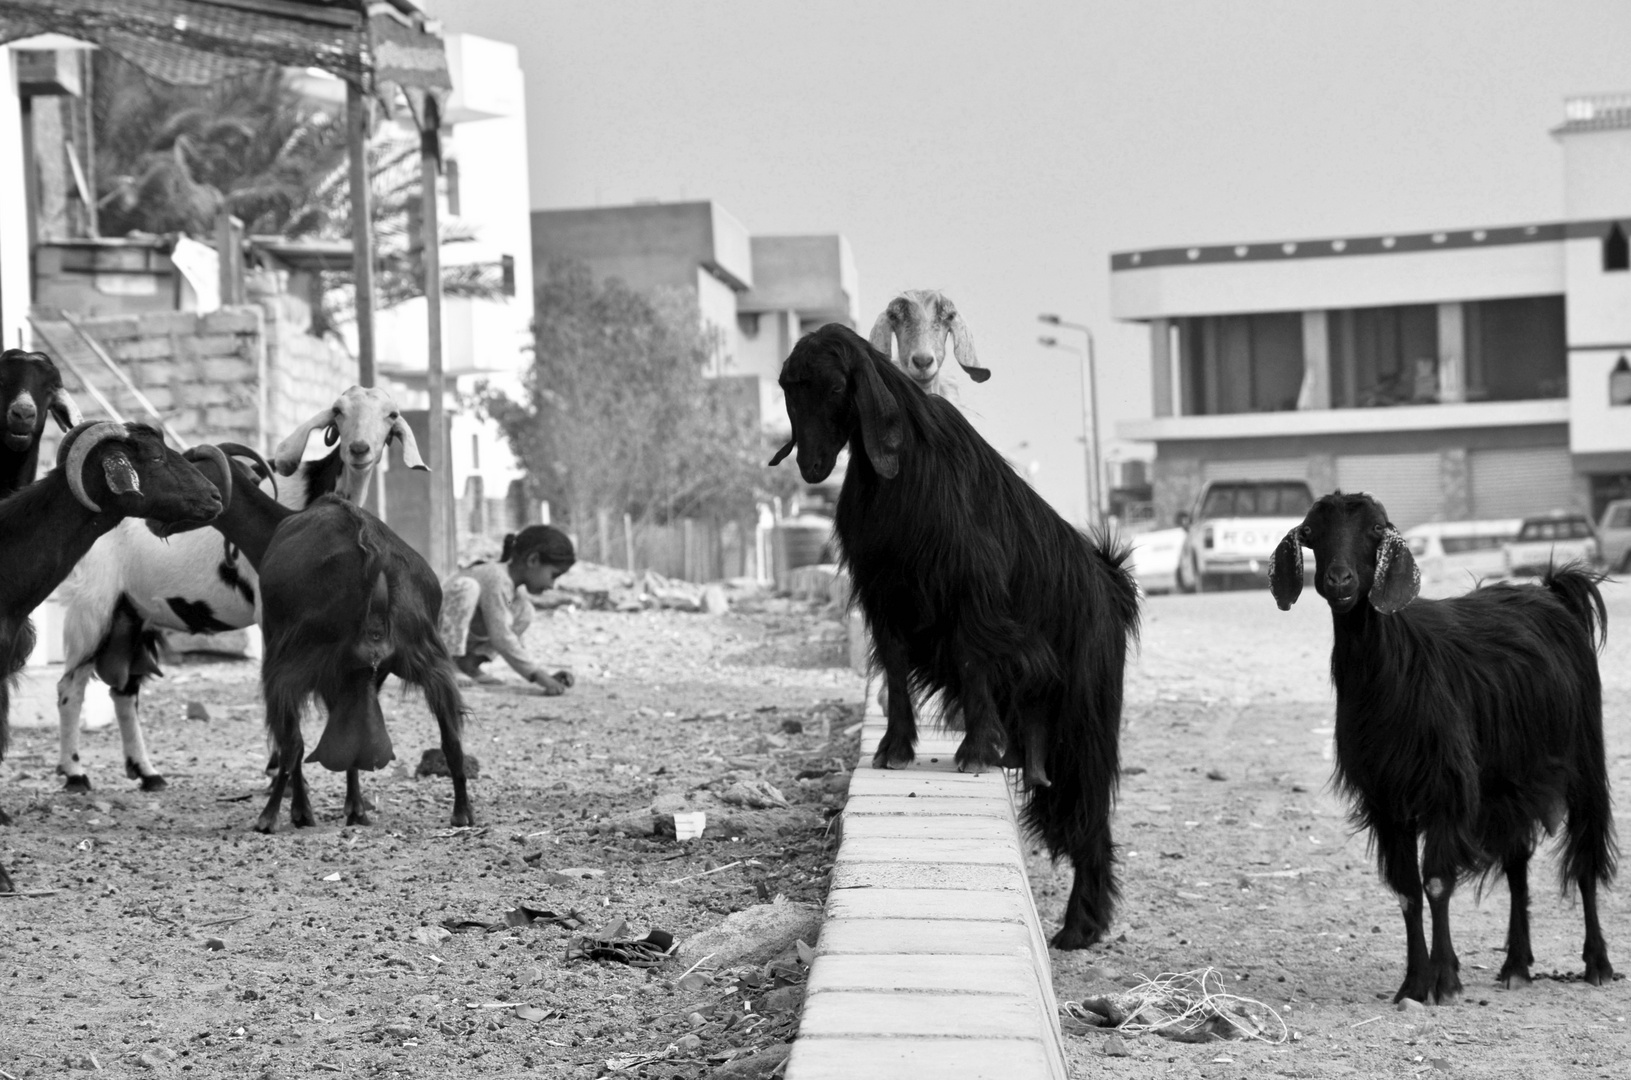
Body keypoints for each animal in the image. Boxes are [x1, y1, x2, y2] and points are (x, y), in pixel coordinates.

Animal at [251, 495, 472, 832]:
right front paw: (353, 809)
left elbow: (294, 741)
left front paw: (303, 812)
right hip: (429, 658)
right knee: (451, 738)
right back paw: (462, 812)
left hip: (291, 663)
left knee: (291, 742)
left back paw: (270, 817)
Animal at [769, 321, 1141, 946]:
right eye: (790, 388)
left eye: (836, 386)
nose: (814, 466)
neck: (902, 479)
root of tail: (1110, 583)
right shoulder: (885, 593)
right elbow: (895, 666)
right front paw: (894, 750)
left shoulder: (971, 593)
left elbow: (972, 661)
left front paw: (973, 750)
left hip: (1085, 716)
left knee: (1090, 813)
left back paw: (1079, 926)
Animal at [1265, 495, 1611, 1011]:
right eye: (1311, 532)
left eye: (1375, 530)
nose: (1339, 581)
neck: (1392, 670)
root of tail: (1551, 592)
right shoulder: (1387, 799)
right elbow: (1408, 891)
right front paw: (1413, 982)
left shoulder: (1446, 787)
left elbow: (1436, 883)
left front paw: (1444, 980)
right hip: (1506, 783)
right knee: (1517, 864)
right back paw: (1516, 966)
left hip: (1584, 757)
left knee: (1586, 855)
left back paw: (1597, 964)